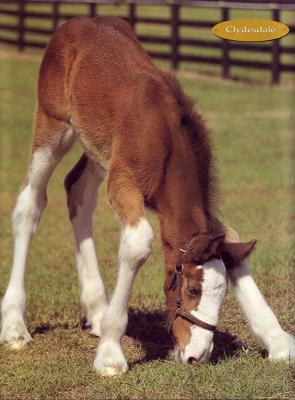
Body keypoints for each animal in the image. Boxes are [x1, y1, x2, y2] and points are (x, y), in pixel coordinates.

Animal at [1, 16, 294, 376]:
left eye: (222, 294)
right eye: (192, 289)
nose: (198, 355)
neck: (164, 138)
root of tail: (76, 21)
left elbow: (232, 238)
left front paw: (277, 341)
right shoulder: (123, 183)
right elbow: (138, 243)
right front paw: (110, 354)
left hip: (98, 149)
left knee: (77, 190)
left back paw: (97, 310)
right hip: (53, 124)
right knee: (30, 203)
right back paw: (15, 326)